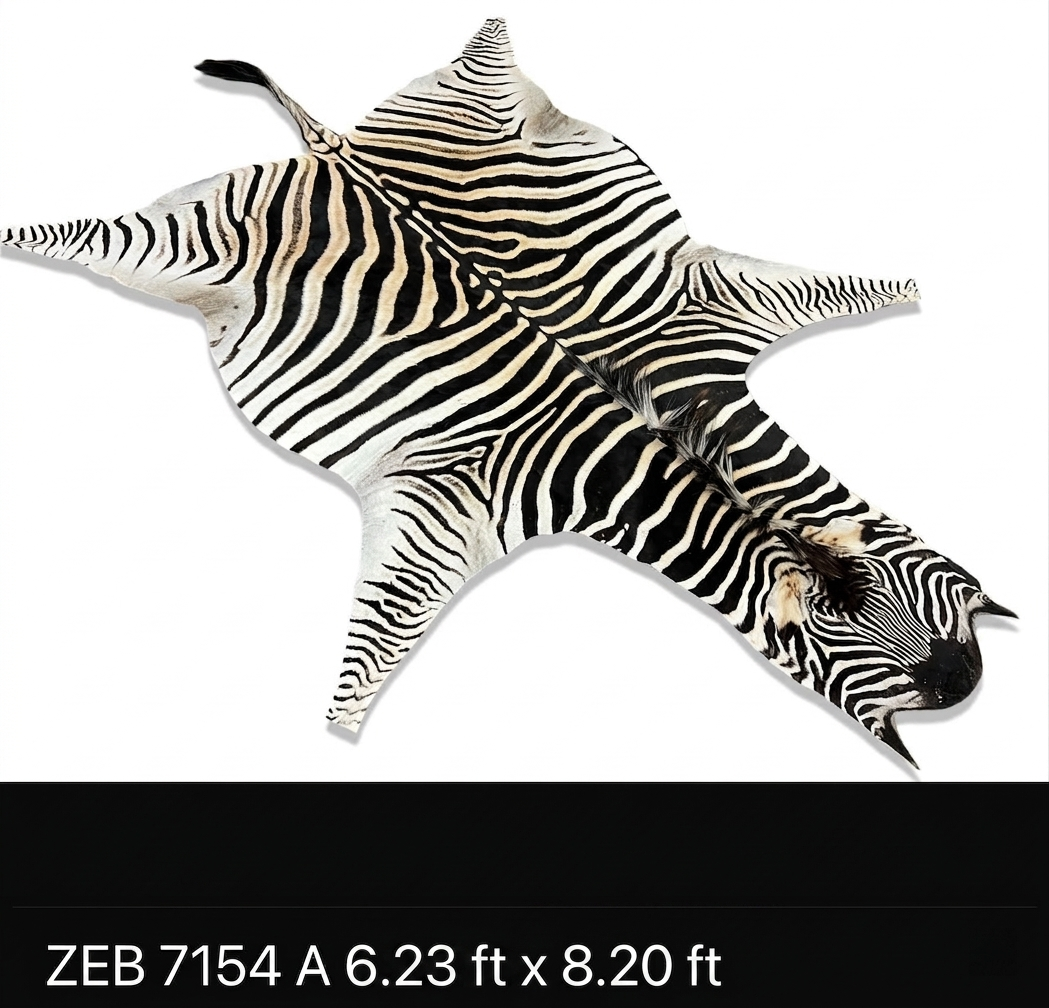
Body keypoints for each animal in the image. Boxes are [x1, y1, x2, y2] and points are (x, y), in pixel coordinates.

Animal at [0, 19, 1012, 767]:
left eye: (927, 617)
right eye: (812, 639)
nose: (965, 686)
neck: (643, 442)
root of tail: (338, 153)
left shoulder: (695, 309)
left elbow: (826, 294)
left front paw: (902, 292)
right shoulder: (450, 498)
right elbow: (379, 636)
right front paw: (342, 724)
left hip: (482, 119)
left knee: (483, 57)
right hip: (183, 247)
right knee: (92, 236)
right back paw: (24, 234)